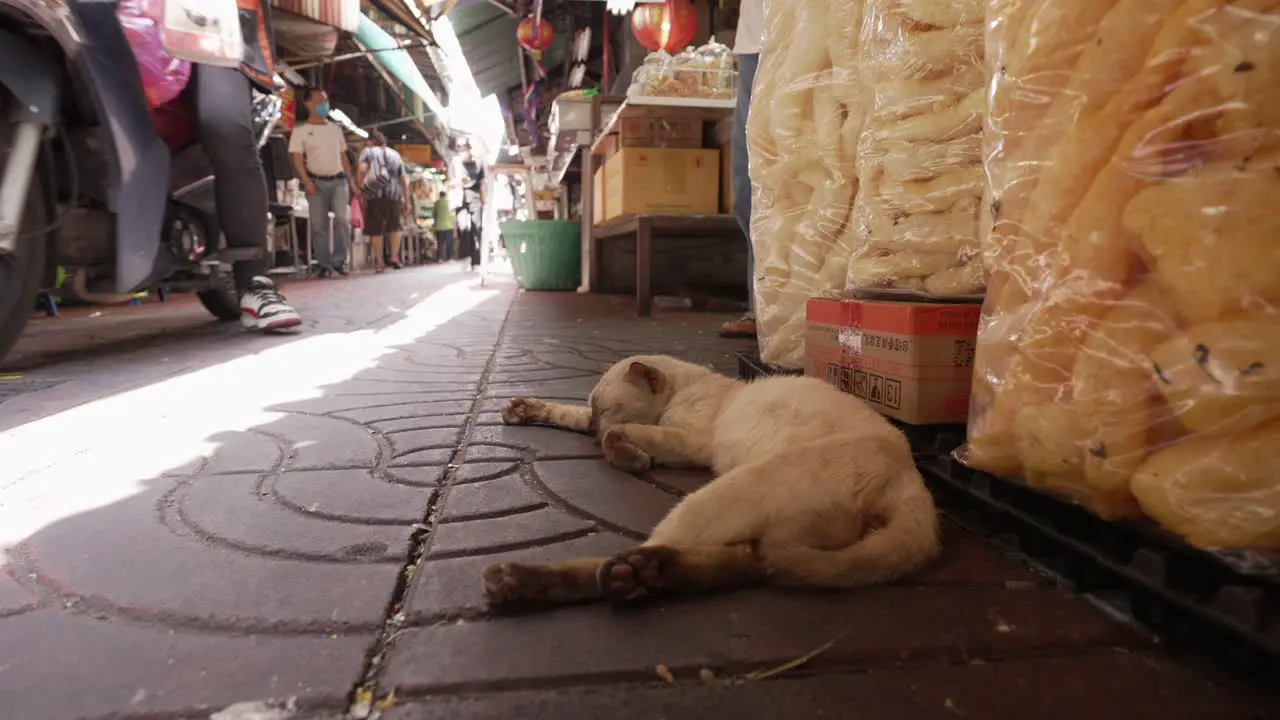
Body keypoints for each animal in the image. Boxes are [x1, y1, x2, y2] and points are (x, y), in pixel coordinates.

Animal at [481, 353, 942, 604]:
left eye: (605, 409)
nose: (593, 428)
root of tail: (911, 482)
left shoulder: (689, 442)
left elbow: (620, 437)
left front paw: (632, 459)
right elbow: (566, 413)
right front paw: (521, 410)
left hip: (723, 495)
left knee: (645, 556)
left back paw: (525, 578)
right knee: (753, 564)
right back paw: (646, 573)